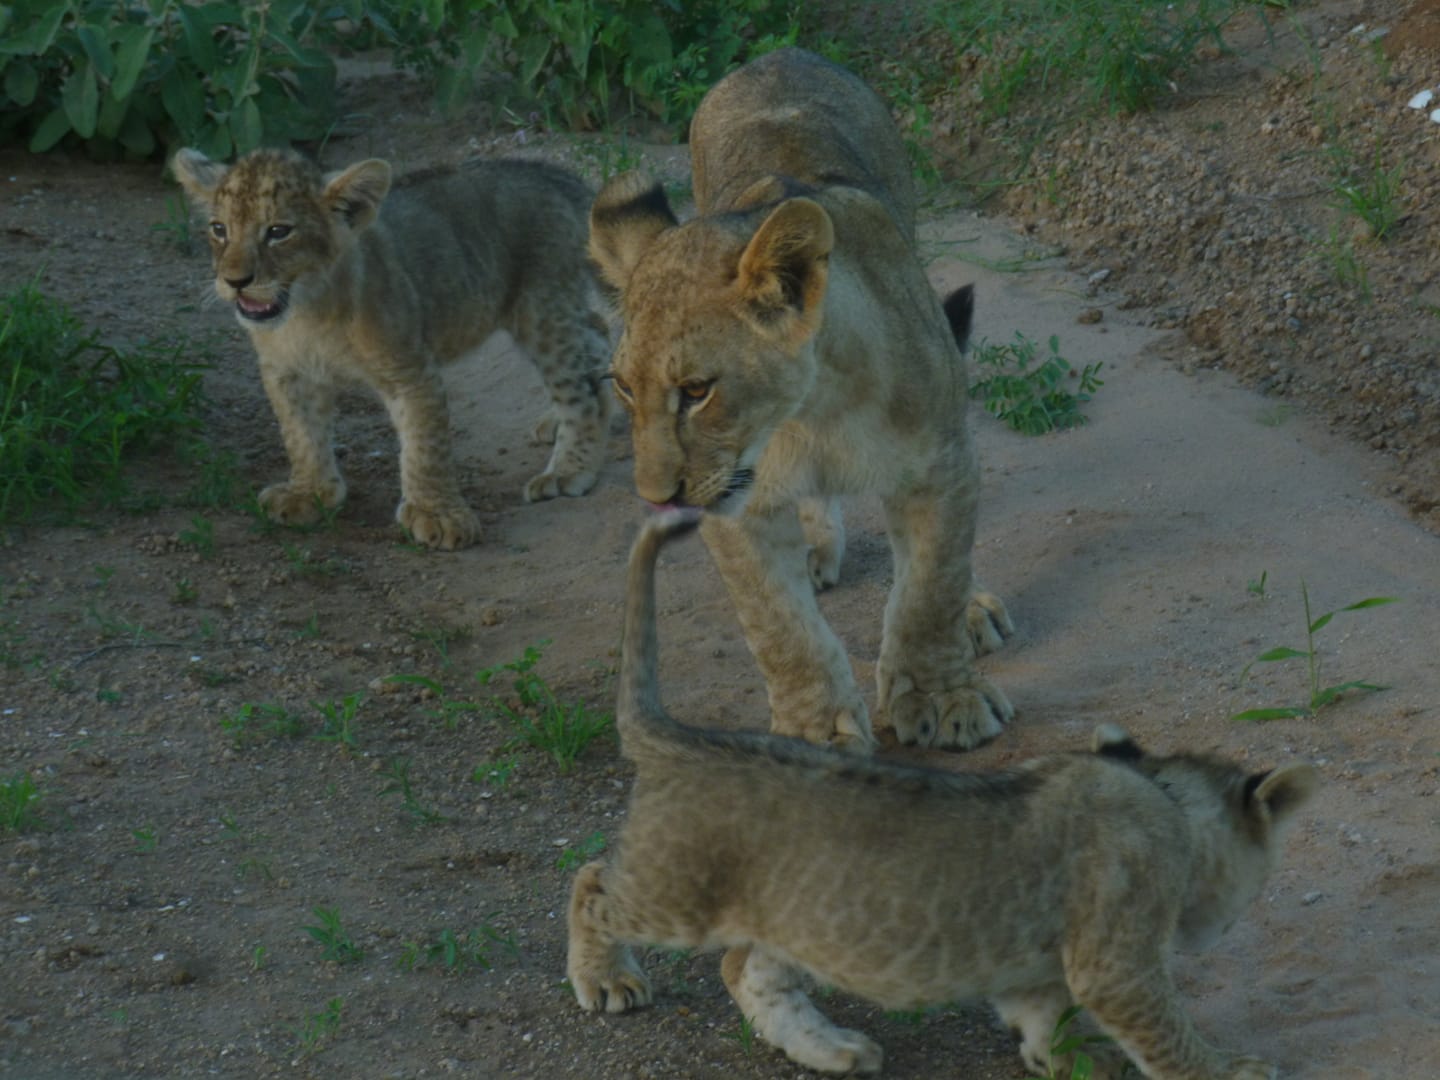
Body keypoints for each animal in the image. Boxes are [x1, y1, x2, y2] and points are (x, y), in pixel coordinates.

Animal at [171, 148, 612, 550]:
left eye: (279, 231)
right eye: (219, 229)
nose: (235, 281)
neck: (307, 313)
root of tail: (551, 173)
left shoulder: (411, 370)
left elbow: (424, 445)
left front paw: (438, 515)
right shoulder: (287, 372)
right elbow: (300, 434)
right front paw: (308, 493)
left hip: (542, 311)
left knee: (581, 389)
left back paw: (568, 469)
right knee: (597, 333)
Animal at [566, 510, 1319, 1079]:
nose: (1215, 933)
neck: (1159, 794)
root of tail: (672, 736)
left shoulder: (1035, 974)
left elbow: (1052, 1026)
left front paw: (1071, 1063)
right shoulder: (1117, 962)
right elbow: (1166, 1037)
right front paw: (1231, 1071)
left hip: (792, 917)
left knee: (743, 967)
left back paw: (832, 1049)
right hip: (676, 892)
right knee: (593, 882)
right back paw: (606, 979)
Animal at [588, 48, 1011, 750]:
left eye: (697, 391)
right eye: (623, 386)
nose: (656, 497)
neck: (811, 414)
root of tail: (779, 54)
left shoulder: (939, 463)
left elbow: (930, 588)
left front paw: (942, 696)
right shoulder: (739, 505)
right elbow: (777, 625)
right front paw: (813, 734)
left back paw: (974, 609)